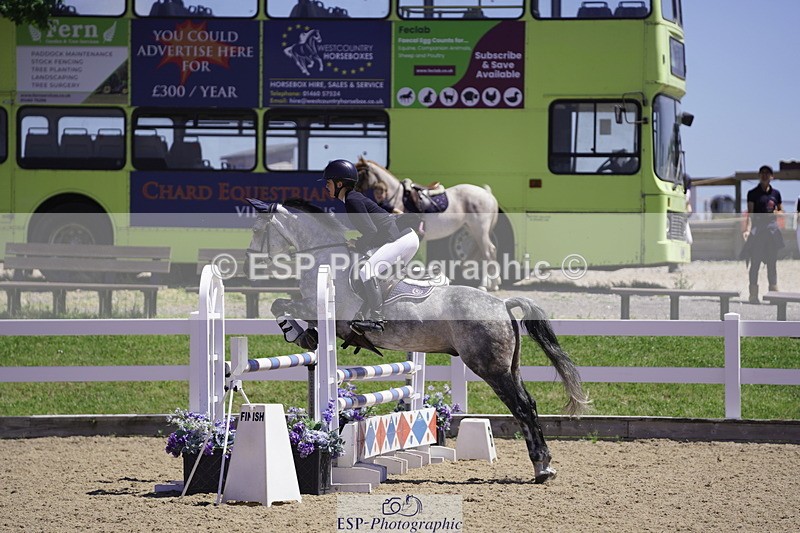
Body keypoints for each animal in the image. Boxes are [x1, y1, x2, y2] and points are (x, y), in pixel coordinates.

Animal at [244, 199, 590, 483]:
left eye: (258, 229)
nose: (249, 262)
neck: (325, 256)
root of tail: (502, 304)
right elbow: (283, 306)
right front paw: (306, 335)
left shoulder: (328, 313)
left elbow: (280, 305)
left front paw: (297, 333)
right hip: (510, 367)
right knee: (529, 404)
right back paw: (544, 465)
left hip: (491, 368)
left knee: (521, 407)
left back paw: (541, 467)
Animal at [355, 157, 501, 291]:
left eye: (360, 173)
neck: (399, 198)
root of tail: (488, 194)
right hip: (472, 229)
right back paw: (492, 283)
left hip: (480, 230)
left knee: (489, 252)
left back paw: (486, 285)